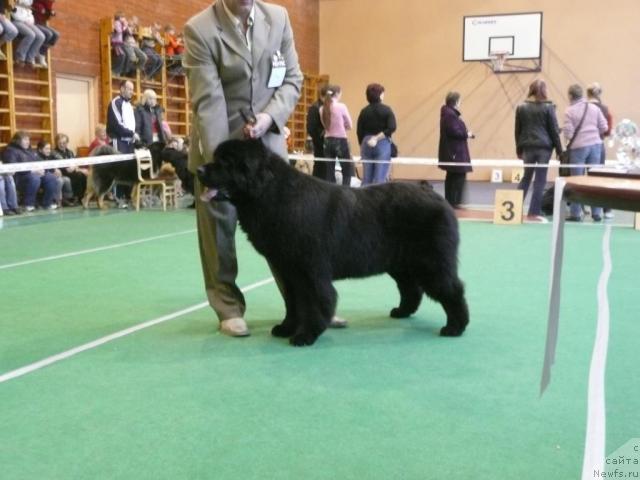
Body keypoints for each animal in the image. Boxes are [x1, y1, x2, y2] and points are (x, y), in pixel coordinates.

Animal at [200, 139, 470, 344]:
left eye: (226, 162)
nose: (200, 171)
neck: (273, 194)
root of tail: (432, 193)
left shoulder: (310, 270)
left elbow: (316, 301)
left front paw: (306, 335)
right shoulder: (288, 270)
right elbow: (293, 303)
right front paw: (286, 328)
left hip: (432, 263)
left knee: (452, 289)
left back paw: (455, 327)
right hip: (401, 264)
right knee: (412, 289)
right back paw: (402, 312)